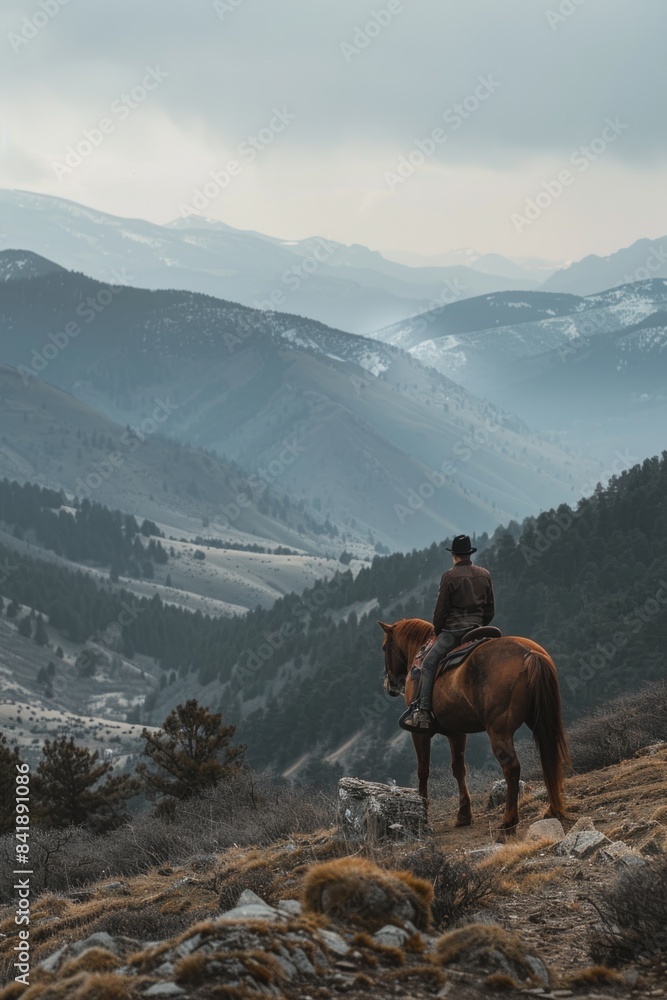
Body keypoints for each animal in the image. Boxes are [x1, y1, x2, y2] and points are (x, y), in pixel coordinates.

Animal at [378, 616, 572, 836]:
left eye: (384, 647)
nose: (390, 685)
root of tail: (529, 653)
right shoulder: (456, 732)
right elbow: (458, 769)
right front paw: (463, 814)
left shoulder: (420, 733)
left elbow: (423, 770)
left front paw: (423, 812)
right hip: (540, 720)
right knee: (549, 754)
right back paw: (553, 808)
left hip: (498, 731)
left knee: (511, 767)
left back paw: (509, 820)